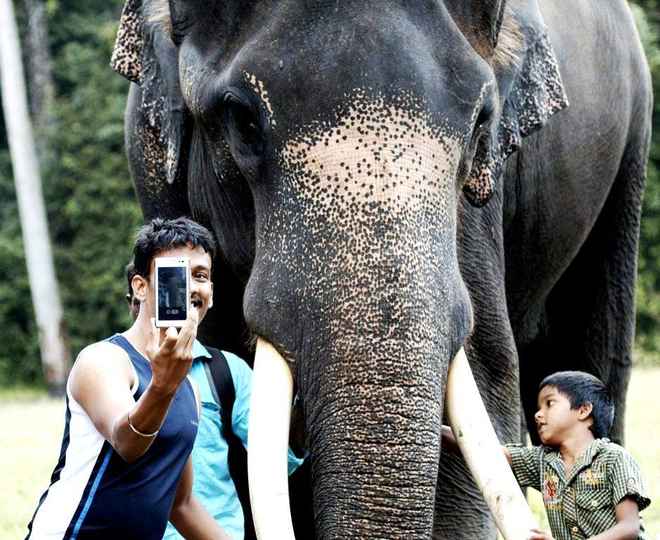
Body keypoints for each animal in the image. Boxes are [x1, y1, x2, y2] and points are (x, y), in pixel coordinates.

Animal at [111, 2, 652, 536]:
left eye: (481, 124)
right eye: (243, 121)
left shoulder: (479, 206)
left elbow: (484, 373)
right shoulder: (154, 165)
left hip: (629, 151)